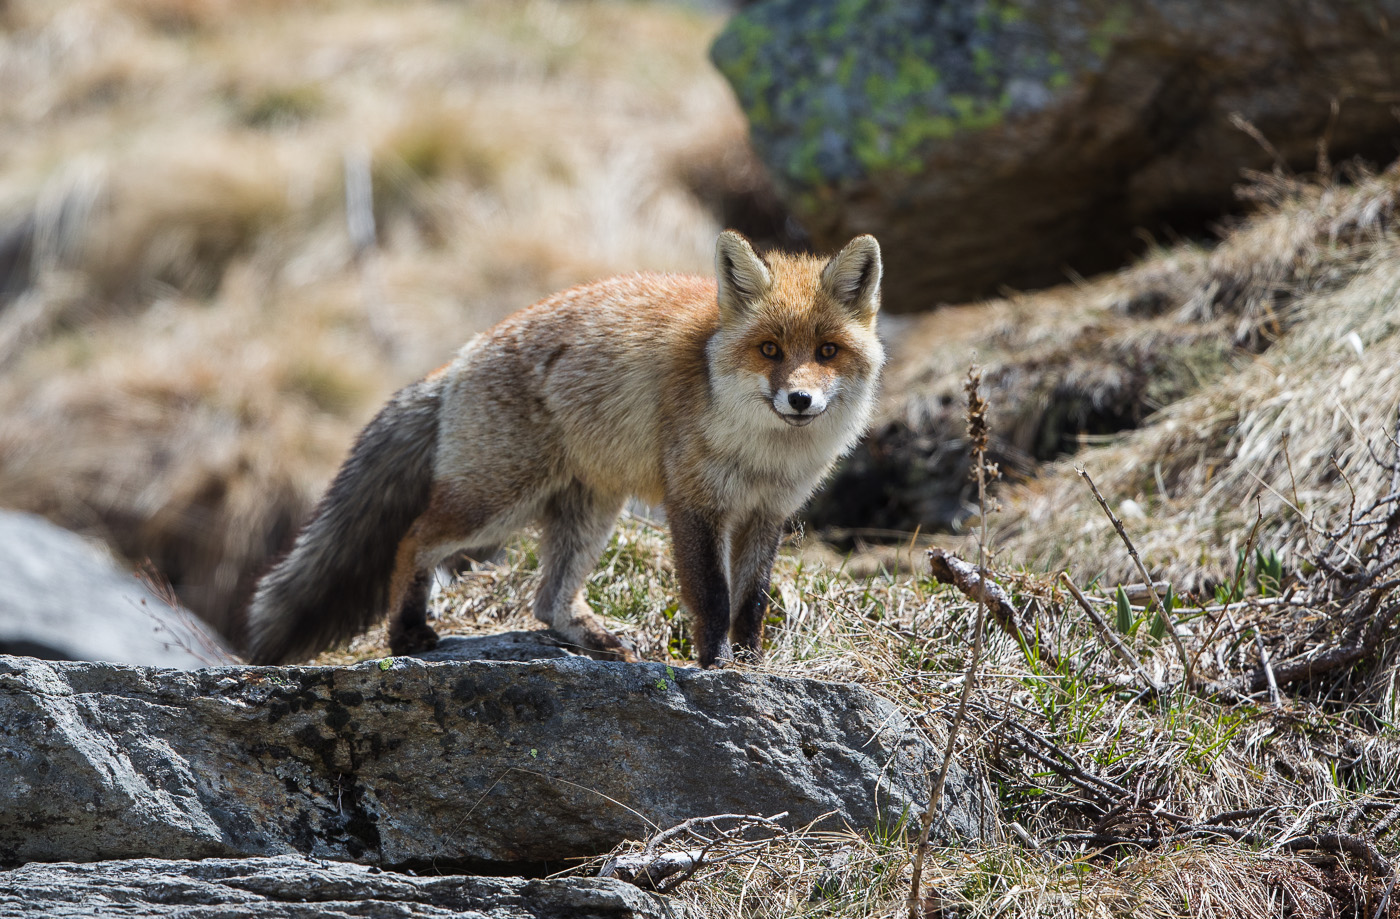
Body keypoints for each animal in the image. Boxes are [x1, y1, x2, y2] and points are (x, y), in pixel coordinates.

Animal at [245, 230, 884, 668]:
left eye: (827, 352)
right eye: (769, 349)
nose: (799, 399)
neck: (764, 455)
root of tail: (459, 358)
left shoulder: (765, 513)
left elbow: (751, 603)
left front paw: (752, 668)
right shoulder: (694, 504)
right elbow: (712, 597)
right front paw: (716, 668)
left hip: (589, 513)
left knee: (546, 601)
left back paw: (590, 639)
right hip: (495, 504)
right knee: (413, 540)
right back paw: (406, 634)